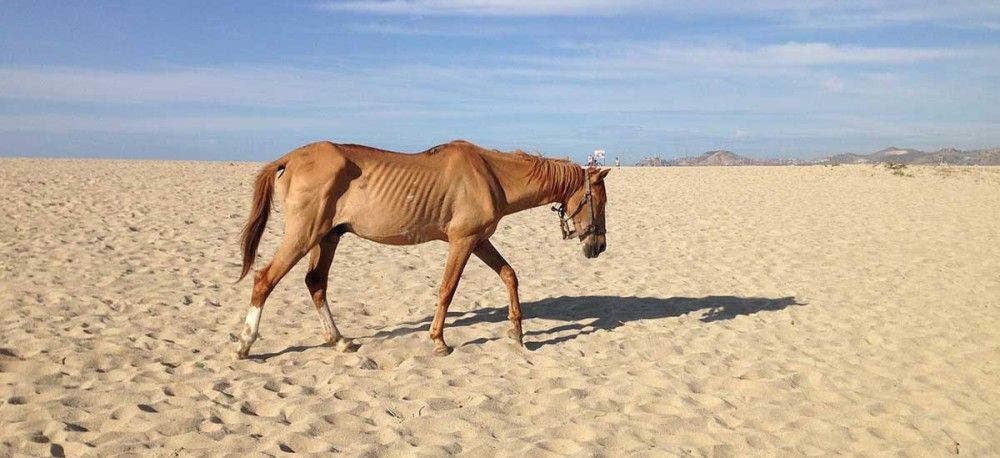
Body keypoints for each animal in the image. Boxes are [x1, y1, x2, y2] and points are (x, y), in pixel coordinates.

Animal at [234, 138, 608, 360]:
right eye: (600, 201)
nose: (599, 247)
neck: (492, 176)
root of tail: (290, 157)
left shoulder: (479, 240)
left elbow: (509, 275)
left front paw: (516, 331)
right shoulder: (462, 241)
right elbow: (447, 290)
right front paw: (438, 340)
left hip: (327, 237)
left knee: (315, 283)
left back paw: (340, 340)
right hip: (304, 235)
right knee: (264, 280)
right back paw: (245, 343)